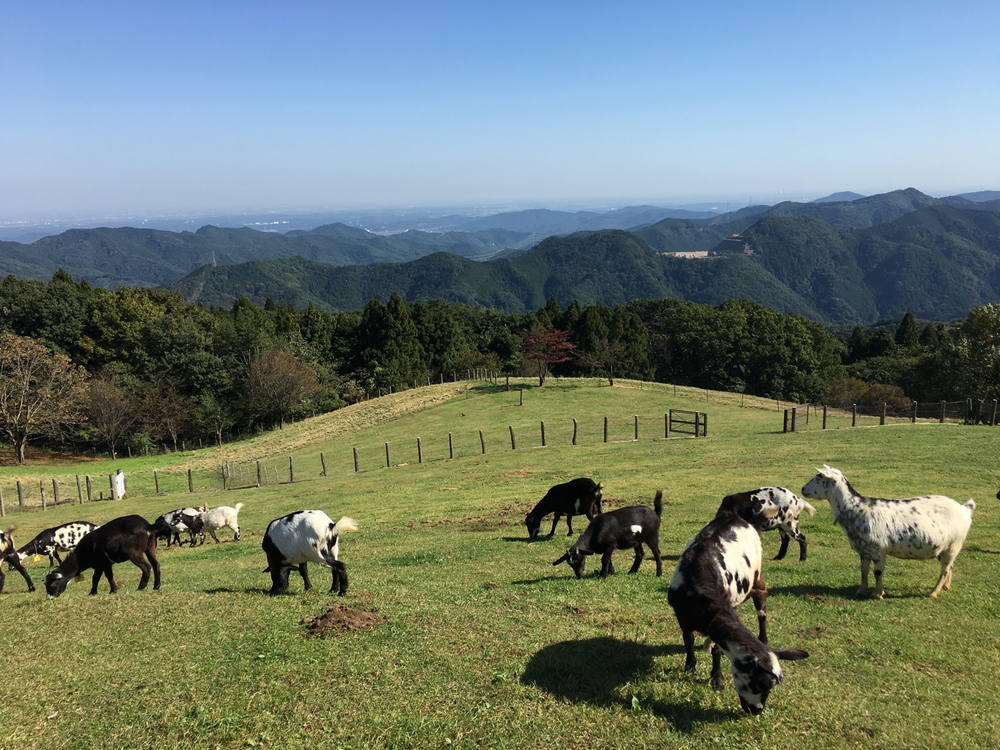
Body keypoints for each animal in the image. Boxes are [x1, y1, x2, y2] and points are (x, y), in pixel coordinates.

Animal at [668, 496, 808, 720]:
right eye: (760, 684)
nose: (757, 711)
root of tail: (739, 517)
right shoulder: (682, 616)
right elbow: (688, 641)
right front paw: (690, 667)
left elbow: (717, 649)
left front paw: (717, 679)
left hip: (757, 578)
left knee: (761, 610)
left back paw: (763, 637)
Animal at [804, 468, 976, 604]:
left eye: (819, 477)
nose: (802, 489)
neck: (857, 509)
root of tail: (965, 508)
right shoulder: (864, 551)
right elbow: (864, 570)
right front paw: (861, 591)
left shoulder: (879, 550)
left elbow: (877, 572)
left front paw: (878, 594)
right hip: (945, 548)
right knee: (950, 567)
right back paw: (946, 587)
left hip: (954, 545)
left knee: (945, 570)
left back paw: (934, 592)